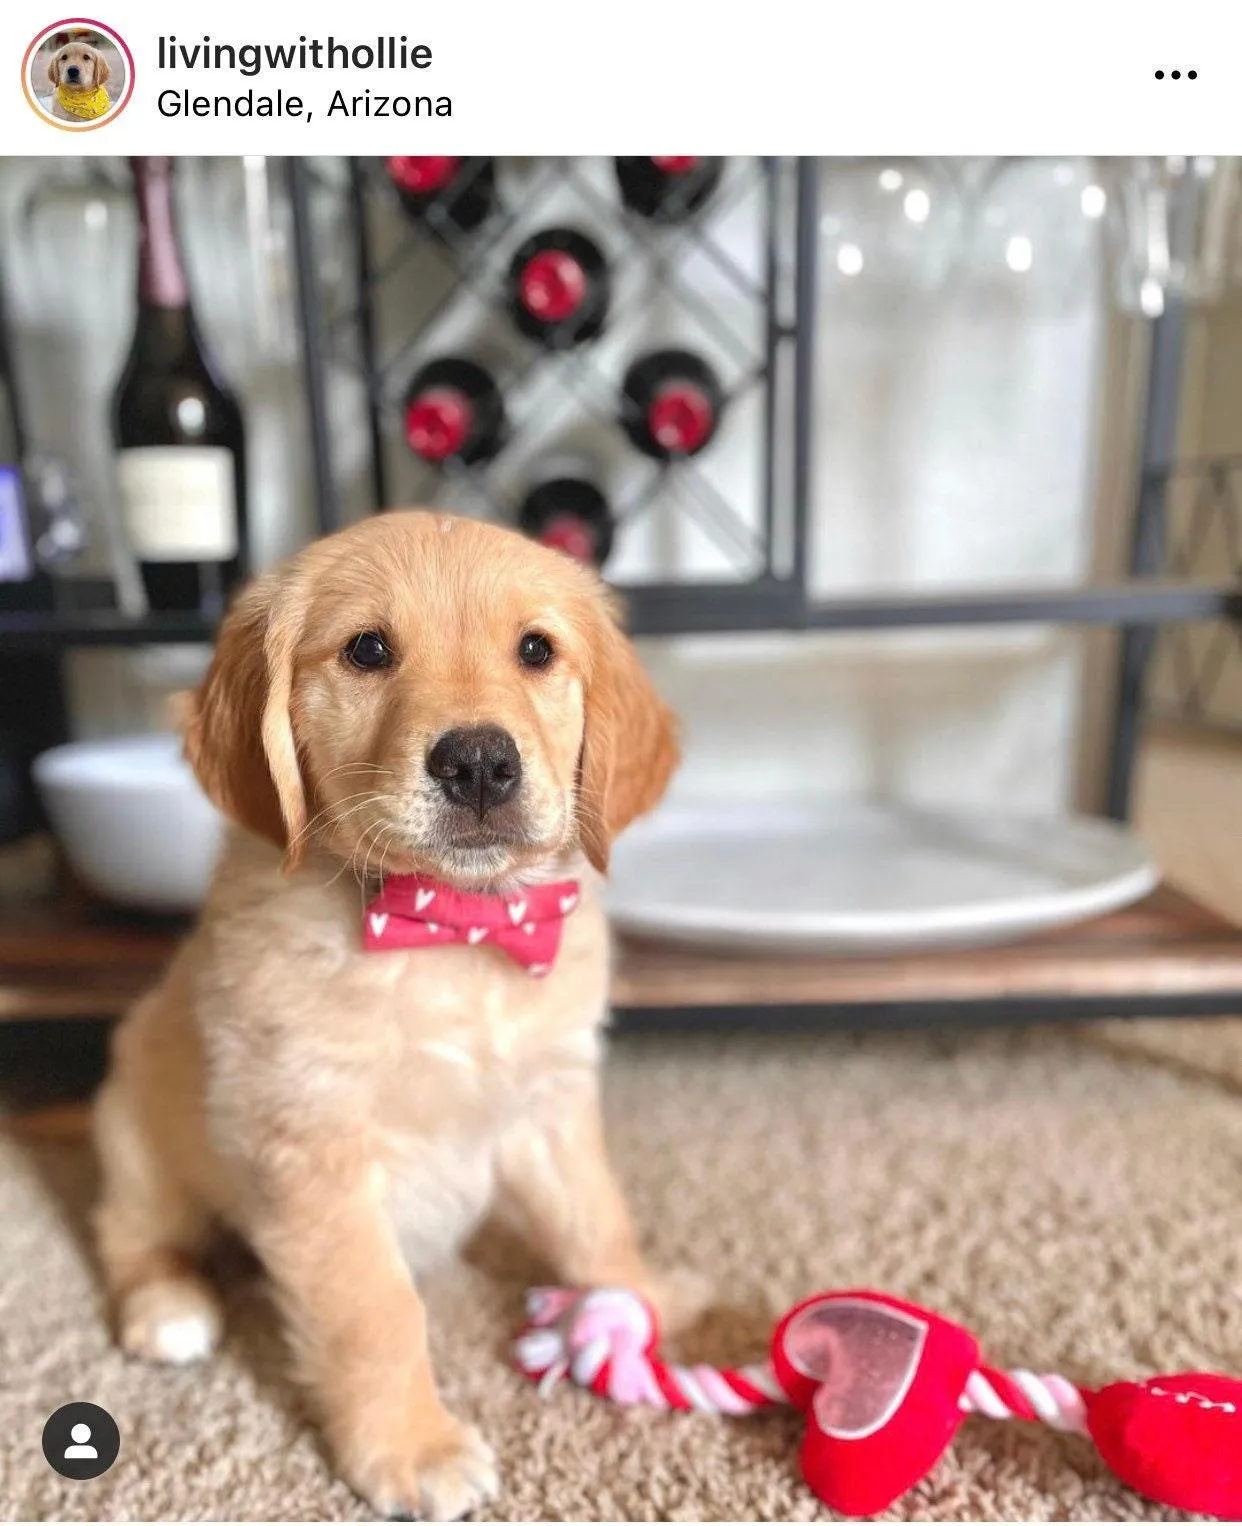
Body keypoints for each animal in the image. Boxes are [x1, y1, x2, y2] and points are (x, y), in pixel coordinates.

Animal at [93, 509, 695, 1513]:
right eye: (367, 650)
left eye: (536, 650)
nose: (480, 762)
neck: (450, 933)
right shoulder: (312, 1148)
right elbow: (373, 1313)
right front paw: (411, 1448)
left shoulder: (552, 1103)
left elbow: (594, 1218)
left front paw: (638, 1300)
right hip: (139, 1133)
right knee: (131, 1233)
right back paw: (168, 1305)